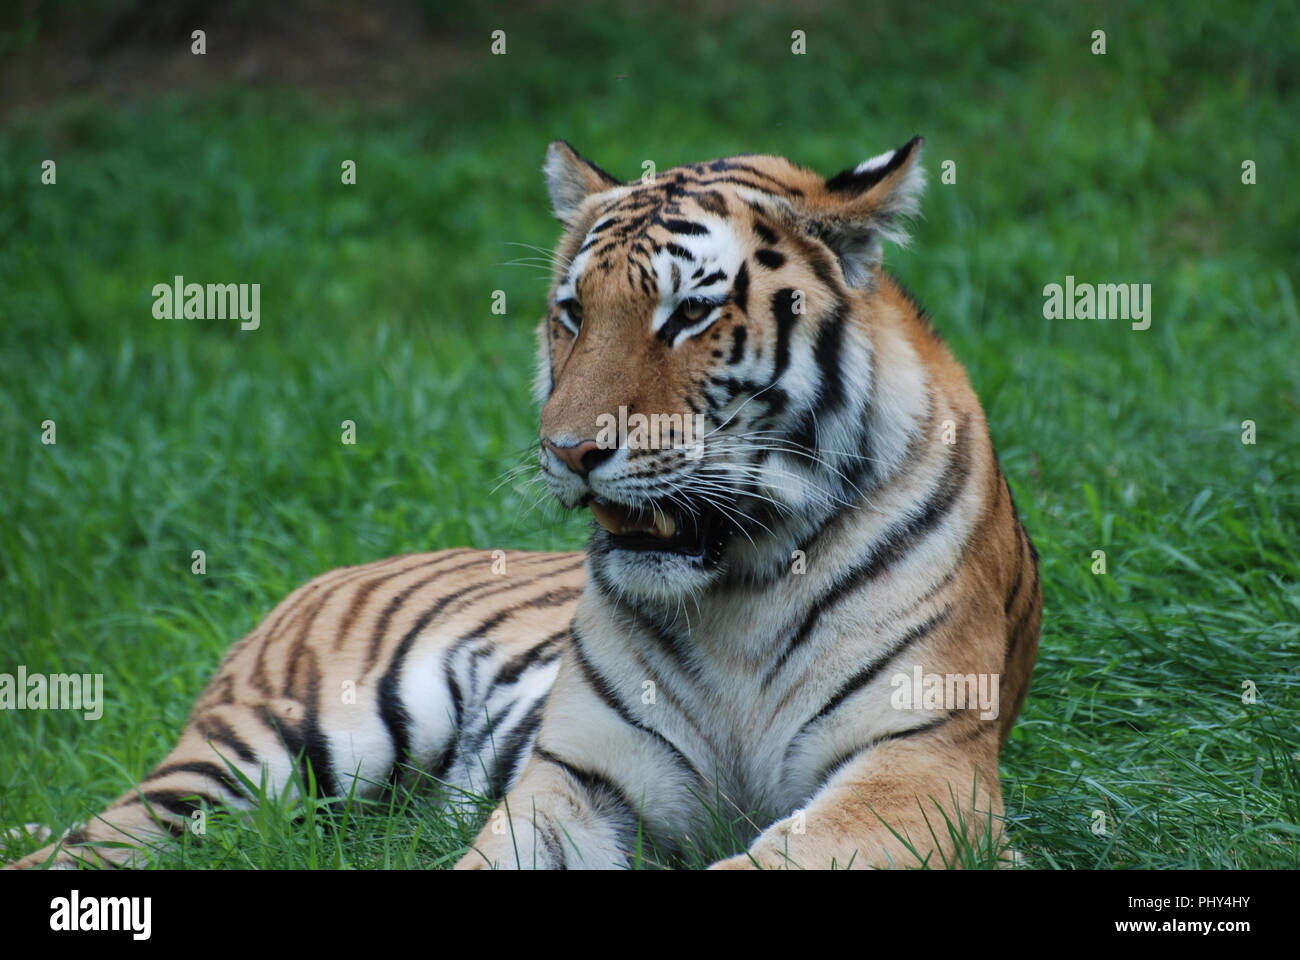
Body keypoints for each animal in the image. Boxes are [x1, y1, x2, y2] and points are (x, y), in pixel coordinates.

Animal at [9, 135, 1041, 871]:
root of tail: (324, 573)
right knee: (83, 845)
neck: (736, 592)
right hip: (262, 755)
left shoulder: (921, 770)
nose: (570, 451)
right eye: (573, 313)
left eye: (690, 313)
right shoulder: (578, 778)